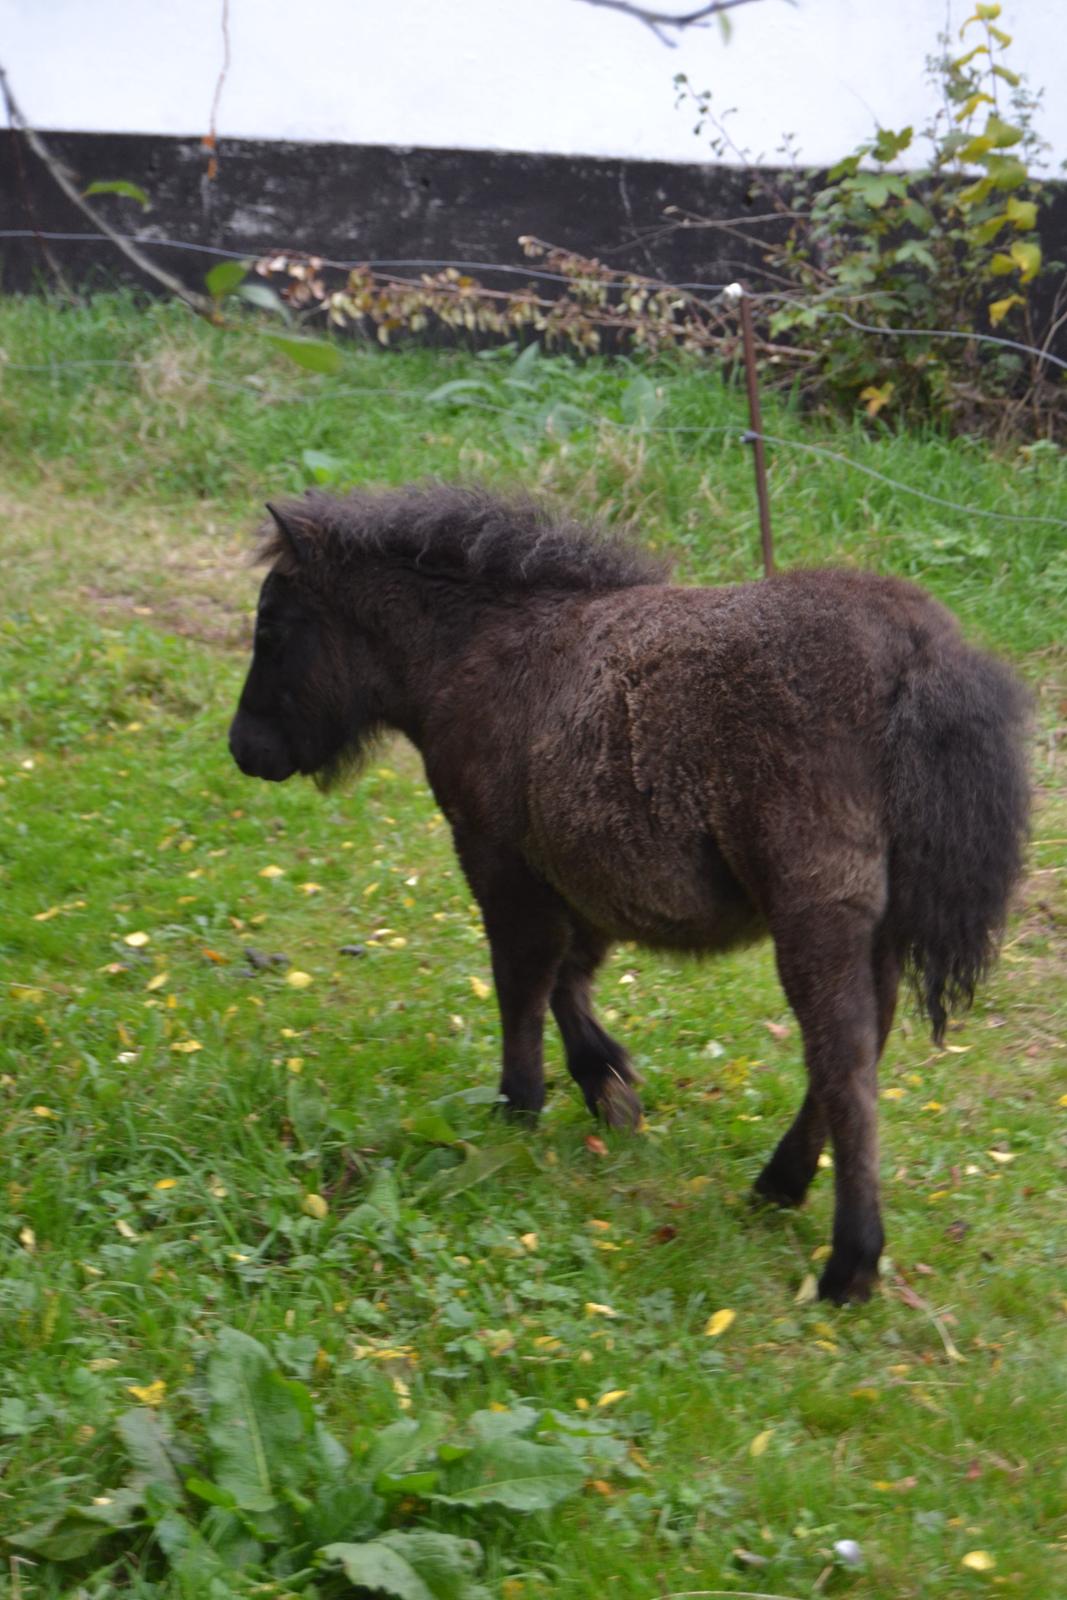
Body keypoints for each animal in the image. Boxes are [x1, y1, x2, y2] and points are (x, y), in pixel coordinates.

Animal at [230, 483, 1030, 1299]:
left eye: (271, 625)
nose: (243, 750)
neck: (477, 647)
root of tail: (918, 653)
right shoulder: (577, 872)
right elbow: (566, 974)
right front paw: (607, 1084)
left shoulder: (496, 855)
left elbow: (522, 978)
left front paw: (519, 1109)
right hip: (878, 924)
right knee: (862, 1043)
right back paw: (778, 1185)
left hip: (819, 910)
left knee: (844, 1062)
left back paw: (848, 1263)